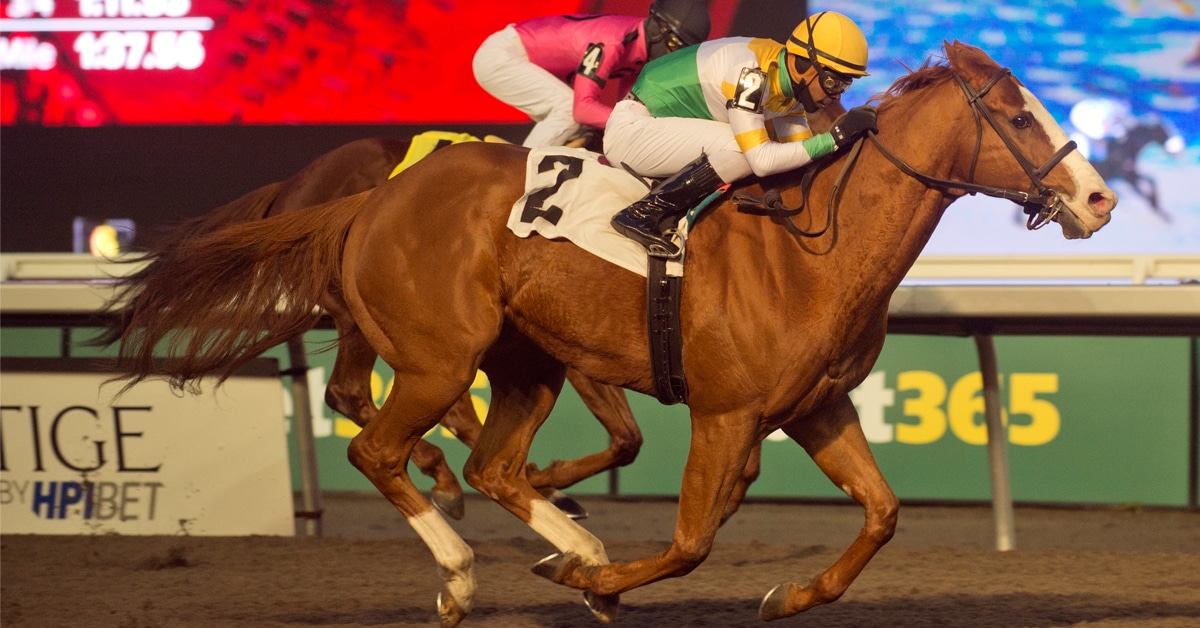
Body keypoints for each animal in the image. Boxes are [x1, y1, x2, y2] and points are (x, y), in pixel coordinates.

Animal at [102, 41, 1115, 625]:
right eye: (1017, 115)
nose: (1098, 199)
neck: (812, 249)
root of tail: (373, 195)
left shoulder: (818, 408)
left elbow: (882, 514)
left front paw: (786, 593)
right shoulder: (724, 412)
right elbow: (692, 540)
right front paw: (590, 583)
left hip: (525, 363)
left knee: (491, 464)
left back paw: (566, 539)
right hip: (439, 359)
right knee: (378, 446)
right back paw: (465, 572)